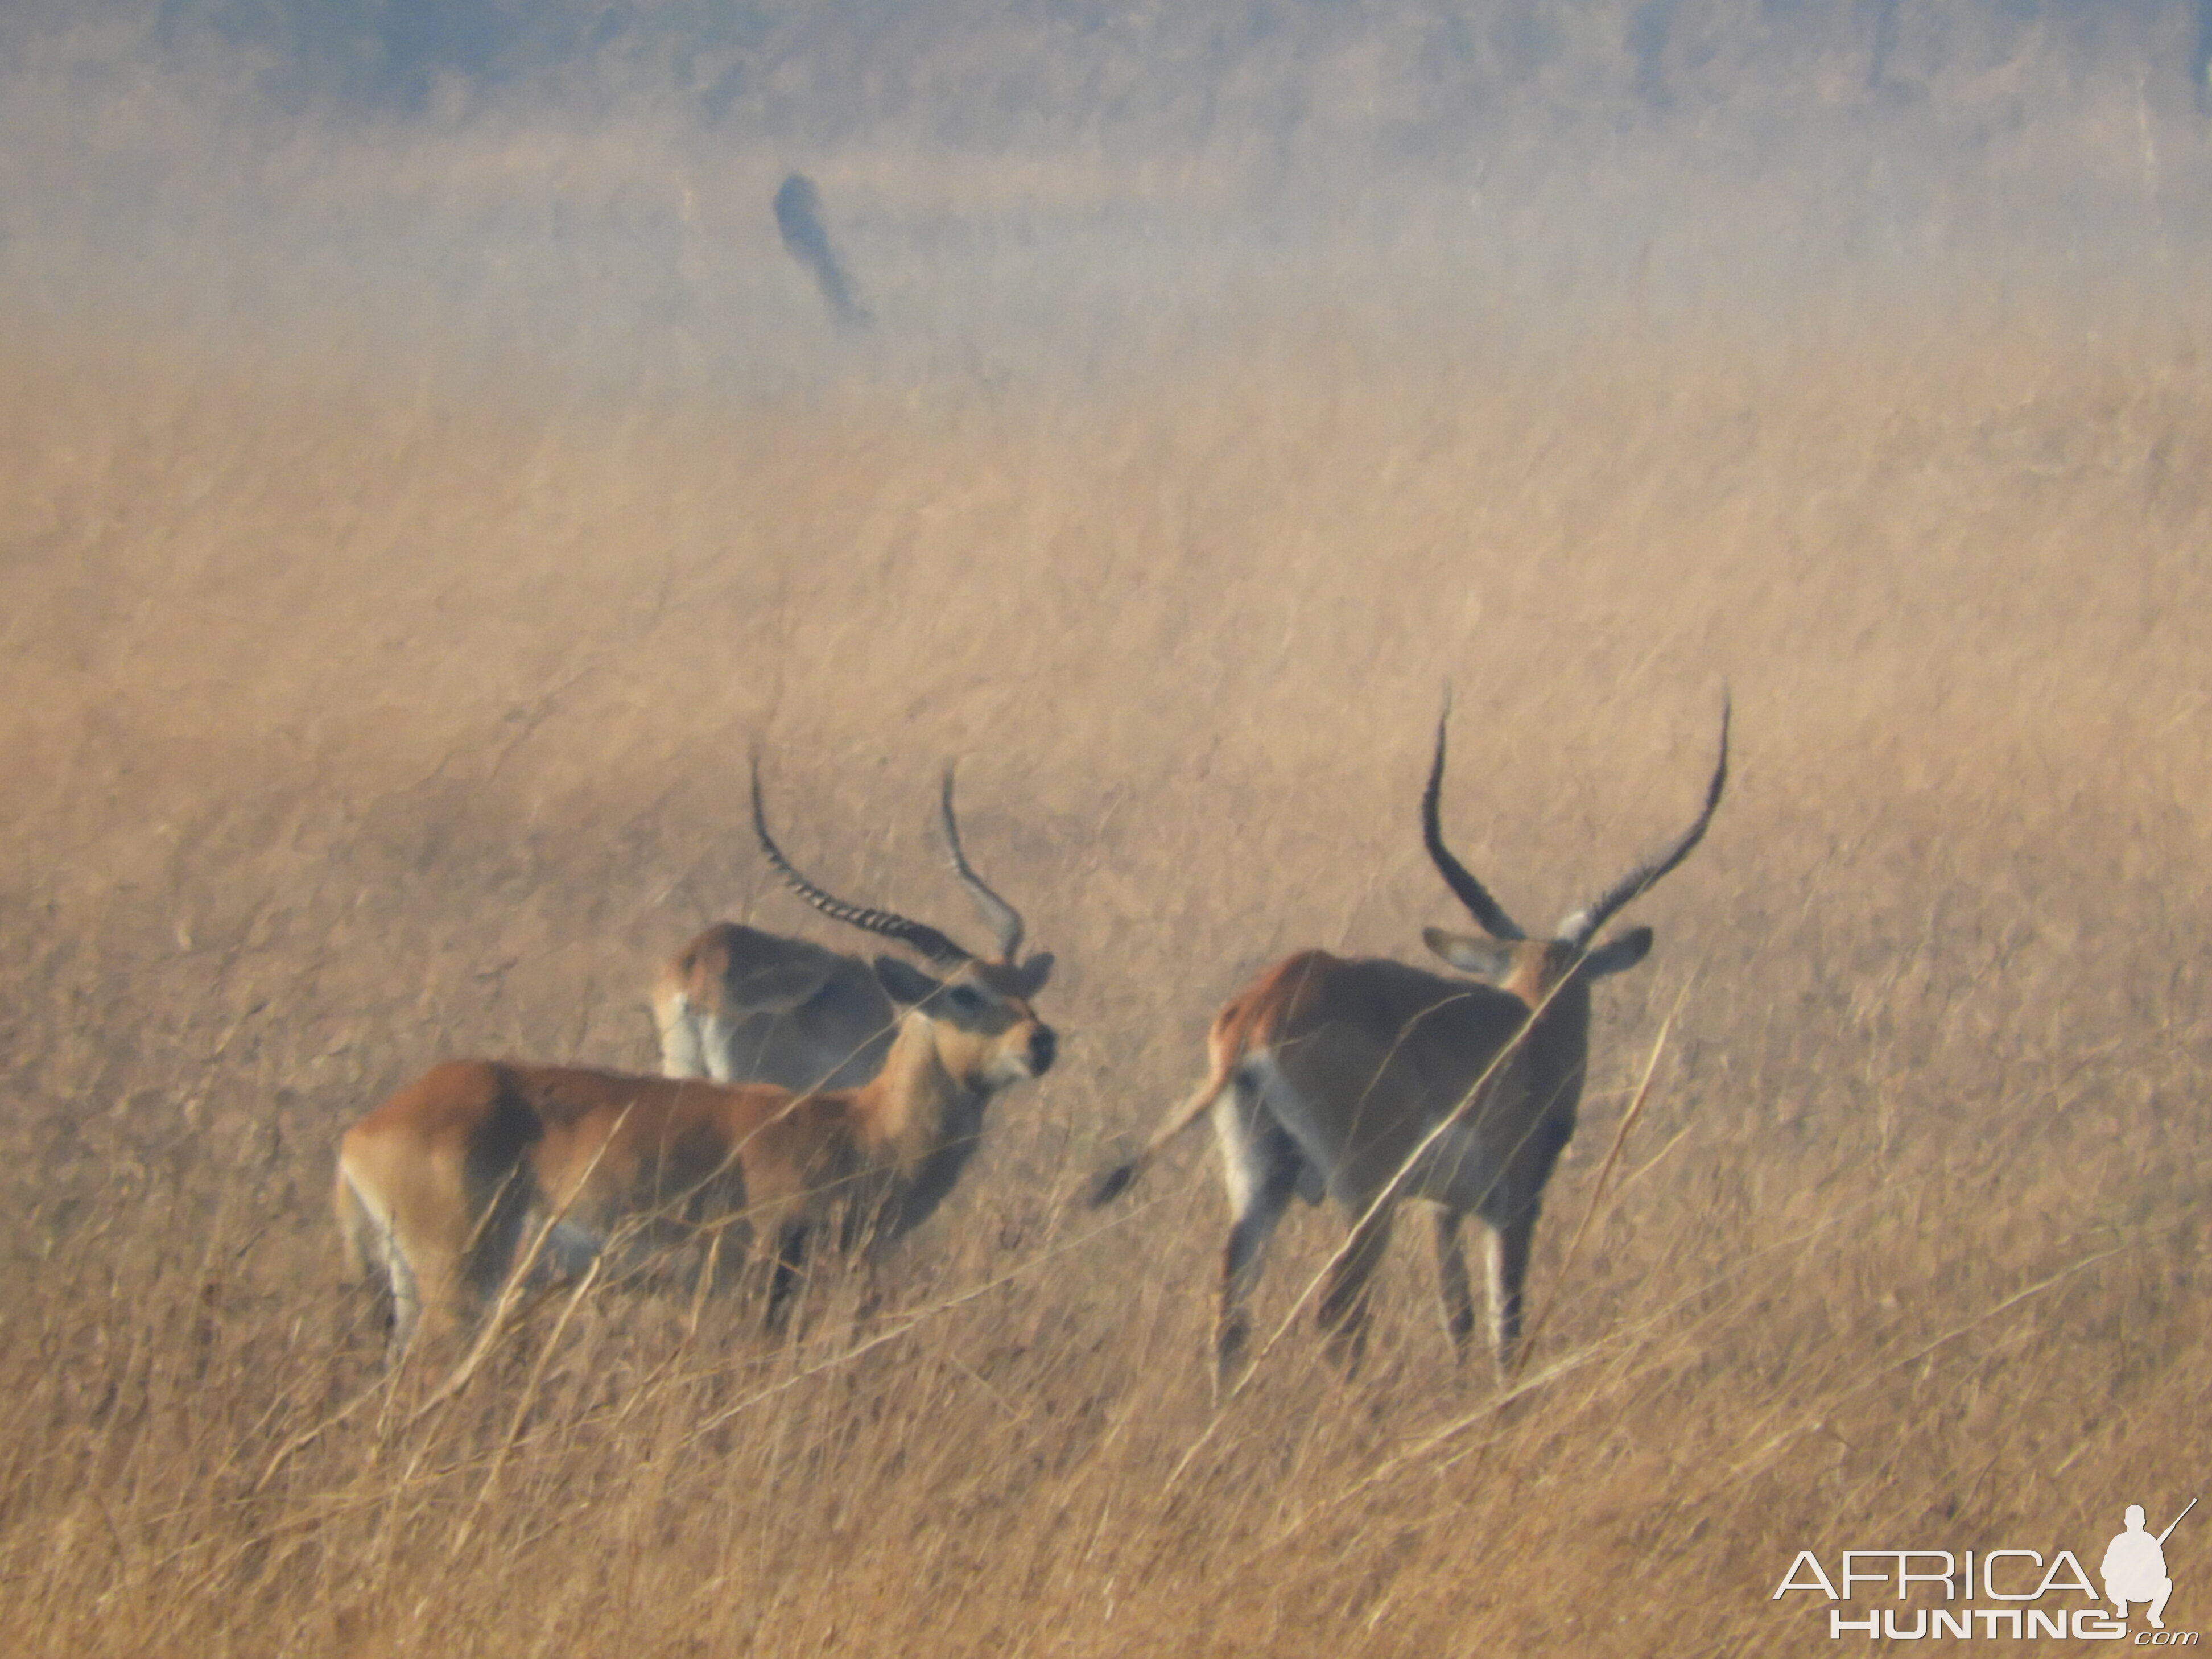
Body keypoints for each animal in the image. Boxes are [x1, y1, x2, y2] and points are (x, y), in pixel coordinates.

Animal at [1088, 694, 1725, 1398]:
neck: (1530, 1029)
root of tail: (1259, 1011)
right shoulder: (1513, 1203)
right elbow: (1506, 1327)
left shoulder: (1440, 1211)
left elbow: (1459, 1320)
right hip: (1366, 1194)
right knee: (1337, 1312)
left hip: (1262, 1178)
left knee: (1230, 1310)